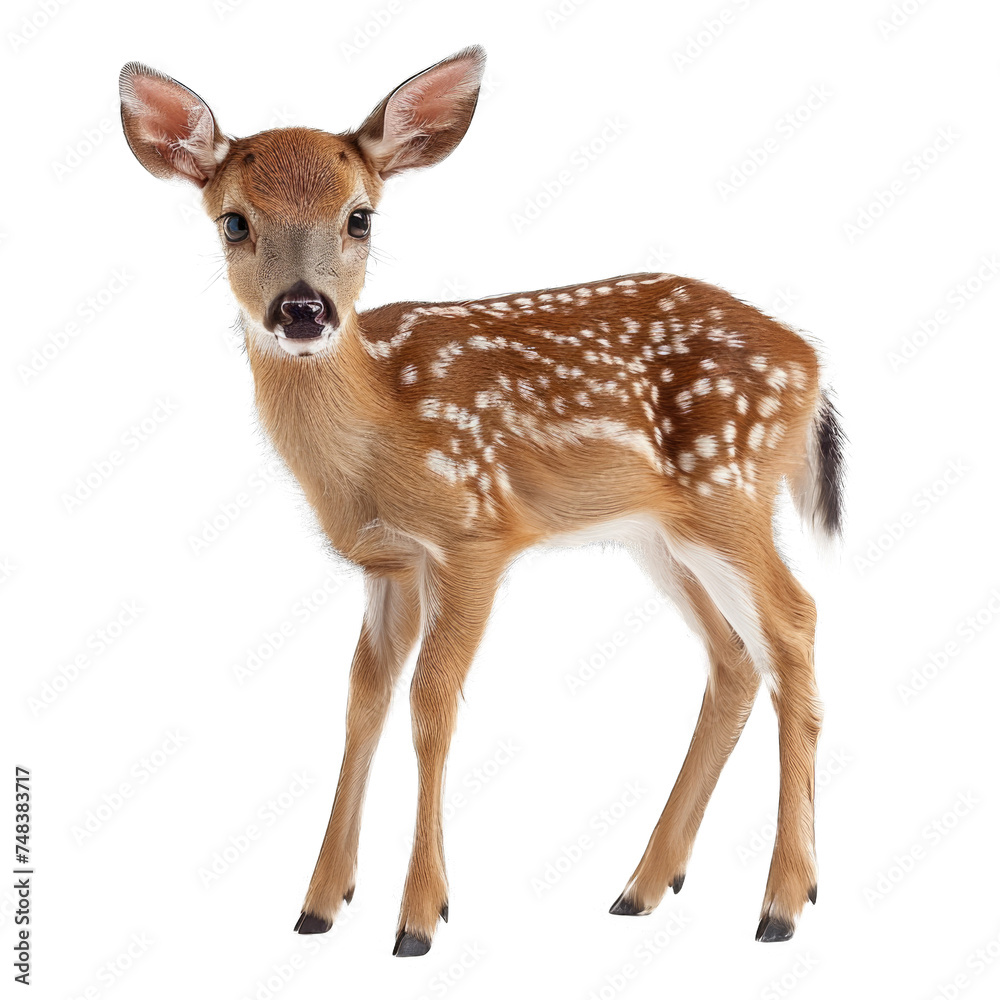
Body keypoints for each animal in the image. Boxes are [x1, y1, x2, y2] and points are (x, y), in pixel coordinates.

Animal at [118, 45, 845, 957]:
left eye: (361, 217)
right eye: (234, 222)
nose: (303, 309)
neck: (379, 430)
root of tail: (811, 366)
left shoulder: (475, 534)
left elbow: (431, 704)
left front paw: (419, 917)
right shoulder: (389, 564)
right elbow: (363, 699)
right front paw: (321, 902)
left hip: (731, 490)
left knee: (795, 622)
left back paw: (784, 901)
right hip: (661, 534)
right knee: (735, 656)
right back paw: (644, 886)